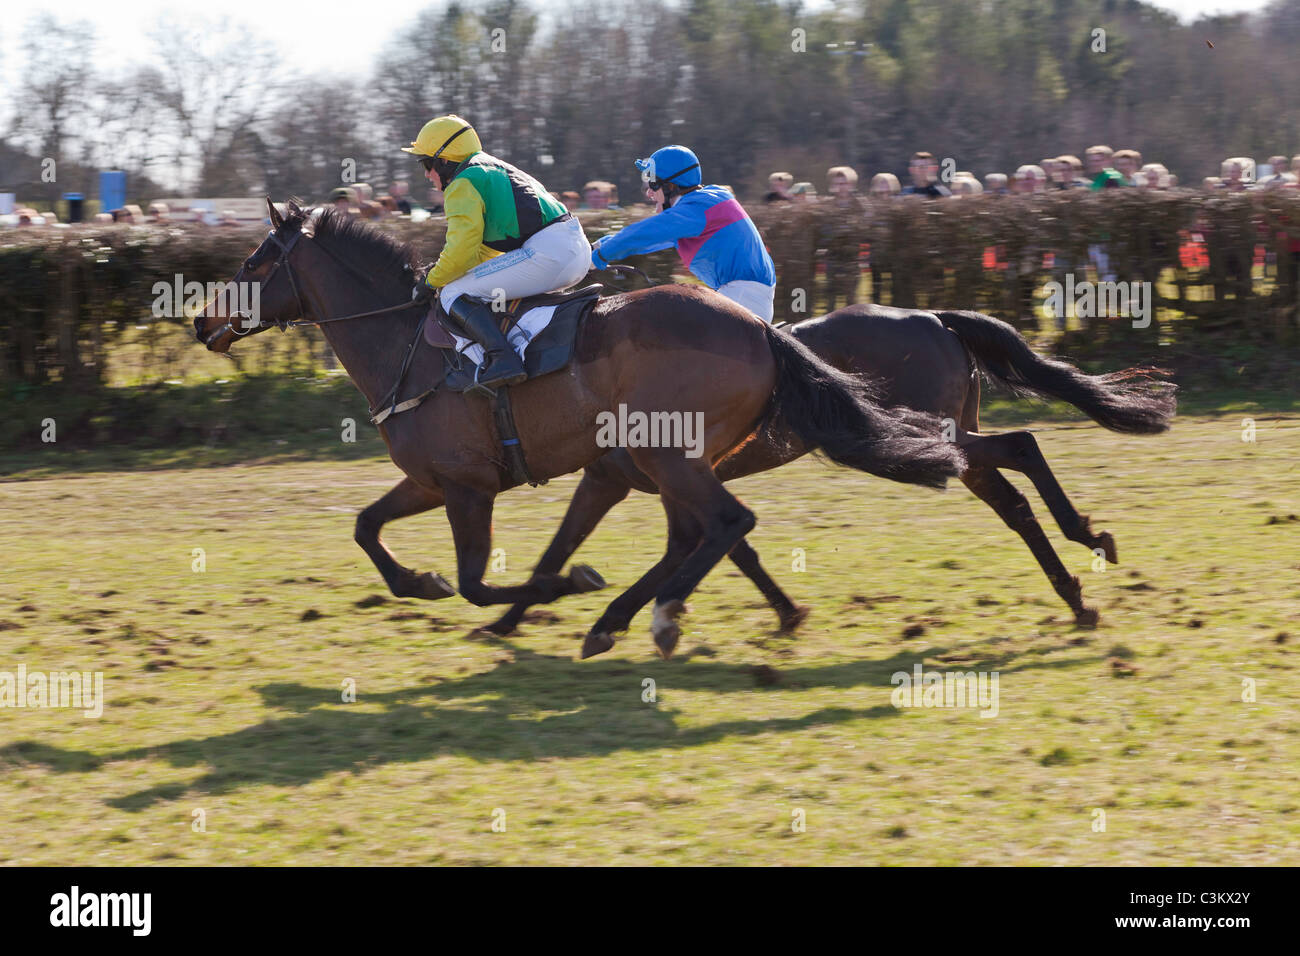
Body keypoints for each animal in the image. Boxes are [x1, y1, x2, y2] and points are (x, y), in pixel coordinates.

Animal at [189, 204, 967, 658]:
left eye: (254, 261)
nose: (200, 320)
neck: (407, 346)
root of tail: (758, 330)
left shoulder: (469, 486)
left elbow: (481, 580)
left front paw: (564, 587)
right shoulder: (433, 478)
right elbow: (366, 527)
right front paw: (423, 582)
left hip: (667, 452)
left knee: (727, 522)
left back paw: (647, 617)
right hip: (666, 461)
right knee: (706, 532)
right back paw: (634, 618)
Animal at [480, 306, 1180, 650]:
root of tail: (937, 318)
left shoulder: (633, 474)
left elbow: (574, 546)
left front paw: (518, 618)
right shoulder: (659, 477)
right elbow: (728, 547)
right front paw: (787, 612)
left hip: (928, 433)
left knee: (1022, 446)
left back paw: (1085, 542)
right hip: (949, 437)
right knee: (1010, 496)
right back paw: (1075, 591)